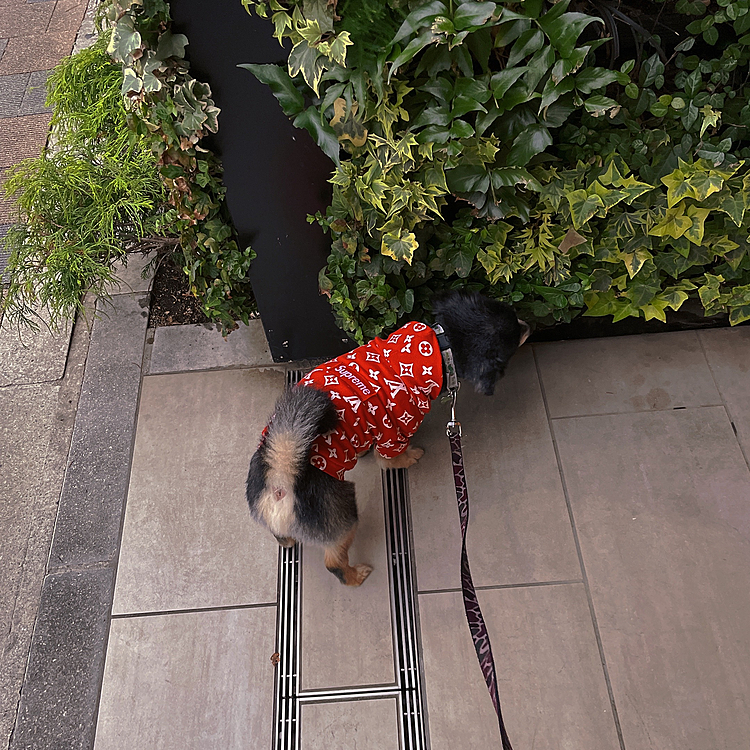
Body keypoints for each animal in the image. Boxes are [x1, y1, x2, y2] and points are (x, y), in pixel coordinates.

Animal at [247, 292, 528, 588]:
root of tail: (281, 477)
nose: (529, 324)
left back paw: (287, 540)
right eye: (515, 335)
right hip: (344, 517)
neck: (441, 347)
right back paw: (355, 576)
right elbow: (391, 459)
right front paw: (410, 456)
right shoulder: (395, 432)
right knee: (334, 562)